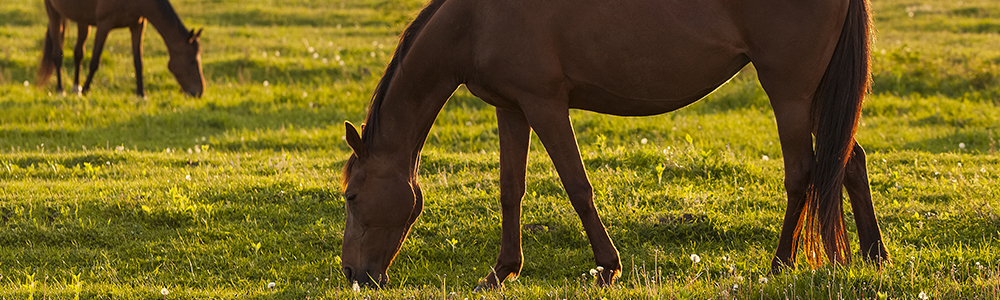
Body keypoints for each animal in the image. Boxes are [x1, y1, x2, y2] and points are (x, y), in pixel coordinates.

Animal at [37, 0, 205, 98]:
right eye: (192, 61)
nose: (199, 91)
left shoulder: (137, 25)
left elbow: (138, 62)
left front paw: (140, 94)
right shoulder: (104, 25)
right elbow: (94, 62)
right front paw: (85, 90)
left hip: (82, 20)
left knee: (78, 53)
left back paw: (75, 88)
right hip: (54, 12)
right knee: (58, 54)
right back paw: (61, 90)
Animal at [342, 0, 892, 290]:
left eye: (349, 196)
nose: (354, 274)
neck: (476, 20)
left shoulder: (545, 105)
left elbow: (577, 187)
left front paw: (608, 267)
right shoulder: (512, 108)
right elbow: (510, 191)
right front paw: (501, 272)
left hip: (790, 92)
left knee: (802, 172)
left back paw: (779, 265)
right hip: (818, 95)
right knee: (848, 162)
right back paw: (874, 255)